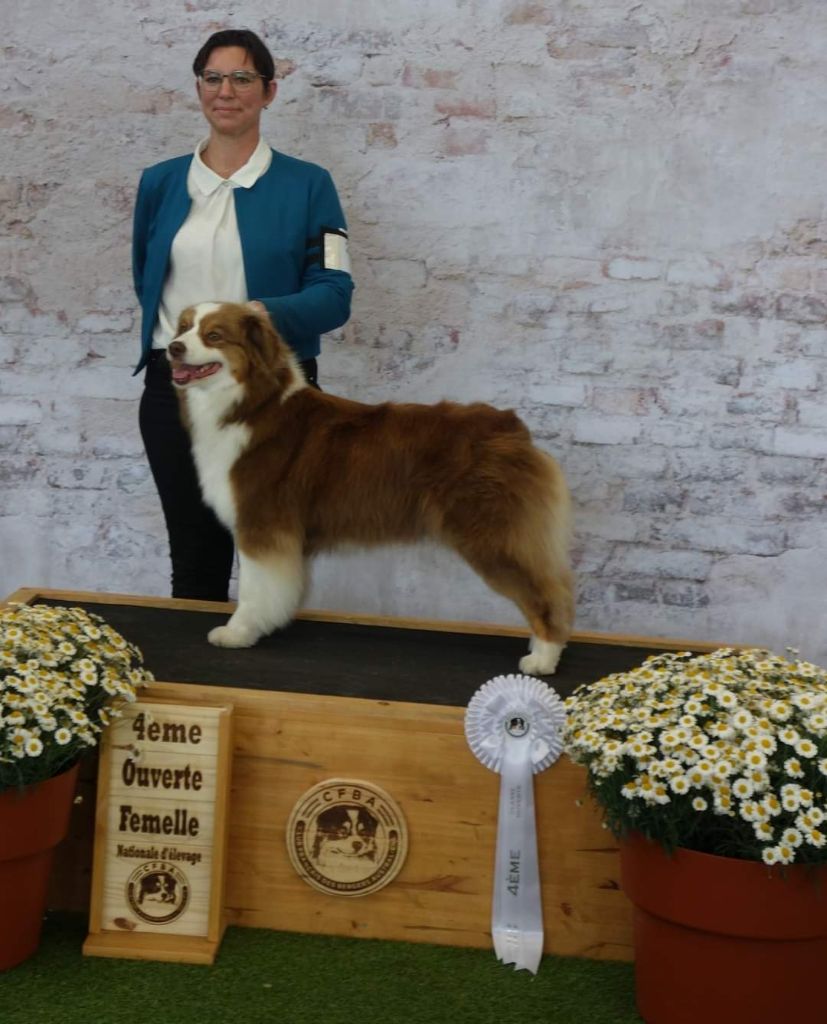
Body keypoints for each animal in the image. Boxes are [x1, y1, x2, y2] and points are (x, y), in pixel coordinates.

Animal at [164, 299, 573, 675]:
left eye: (213, 335)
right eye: (183, 327)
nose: (172, 348)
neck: (252, 405)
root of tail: (511, 428)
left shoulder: (261, 523)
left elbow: (253, 589)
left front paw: (238, 633)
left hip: (492, 534)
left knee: (546, 594)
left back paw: (542, 658)